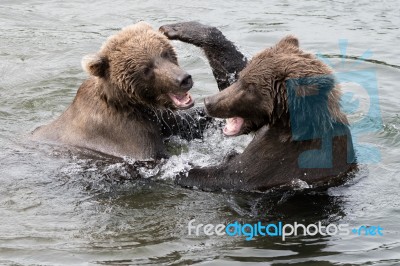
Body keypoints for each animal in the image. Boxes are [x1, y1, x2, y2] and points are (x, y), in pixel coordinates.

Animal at [32, 21, 198, 159]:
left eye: (165, 53)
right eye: (146, 69)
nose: (183, 79)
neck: (125, 103)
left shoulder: (159, 117)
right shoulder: (126, 135)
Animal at [159, 21, 356, 191]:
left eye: (250, 88)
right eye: (242, 79)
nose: (209, 102)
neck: (284, 124)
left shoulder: (278, 161)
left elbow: (226, 176)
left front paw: (170, 169)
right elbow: (231, 66)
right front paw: (176, 28)